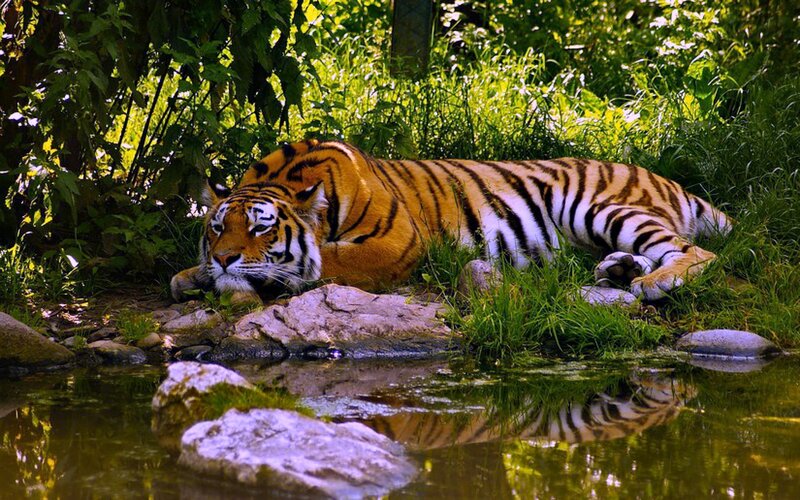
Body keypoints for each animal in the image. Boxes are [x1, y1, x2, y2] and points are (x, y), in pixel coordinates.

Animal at [170, 139, 731, 303]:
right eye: (217, 227)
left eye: (261, 227)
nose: (224, 259)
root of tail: (665, 178)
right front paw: (192, 275)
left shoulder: (396, 242)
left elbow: (325, 261)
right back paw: (619, 271)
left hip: (599, 206)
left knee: (697, 252)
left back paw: (653, 283)